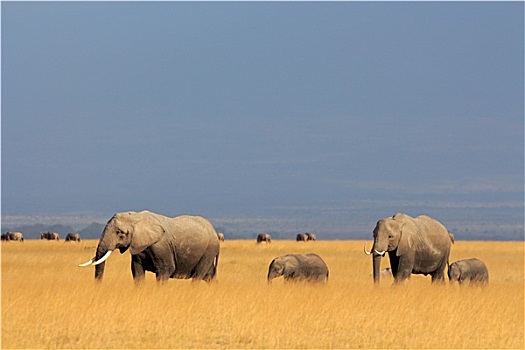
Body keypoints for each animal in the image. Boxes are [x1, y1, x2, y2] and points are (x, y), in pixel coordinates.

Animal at [78, 211, 219, 284]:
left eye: (120, 233)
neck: (136, 217)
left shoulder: (161, 247)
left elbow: (165, 270)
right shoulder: (137, 247)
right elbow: (137, 271)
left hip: (208, 251)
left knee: (198, 276)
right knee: (209, 276)